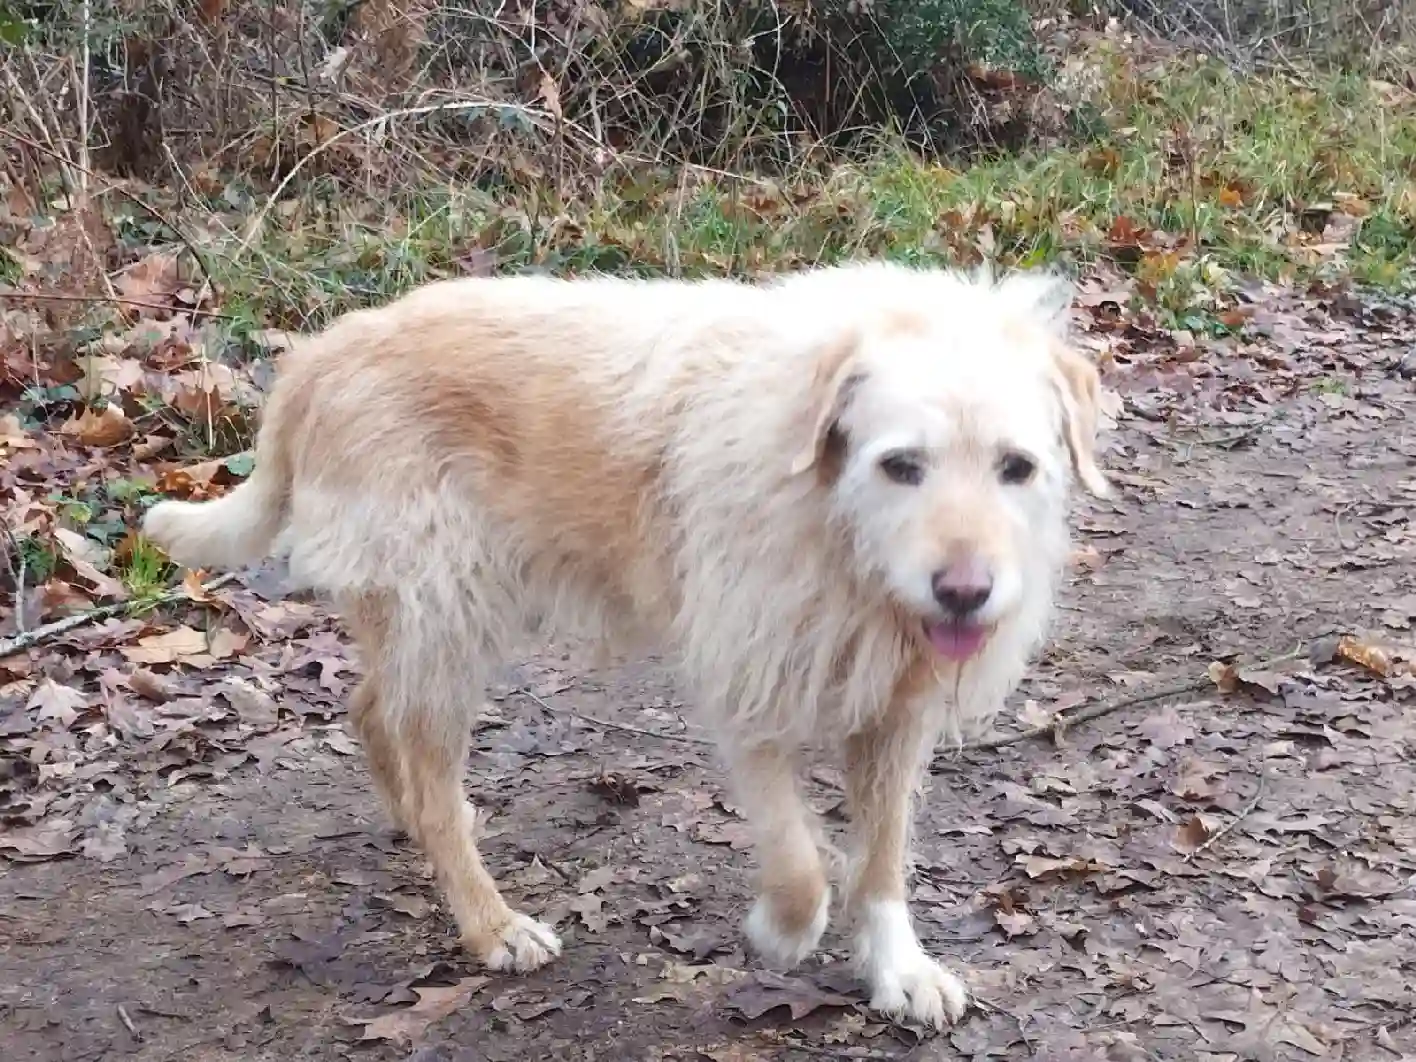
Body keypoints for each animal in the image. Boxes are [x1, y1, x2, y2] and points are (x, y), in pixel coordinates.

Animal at [146, 260, 1115, 1030]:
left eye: (1016, 467)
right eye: (901, 465)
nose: (967, 592)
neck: (832, 514)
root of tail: (322, 353)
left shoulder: (893, 711)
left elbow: (880, 860)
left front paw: (897, 968)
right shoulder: (748, 687)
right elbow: (801, 861)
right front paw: (782, 929)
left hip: (427, 627)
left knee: (374, 713)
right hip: (445, 615)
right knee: (422, 761)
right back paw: (488, 921)